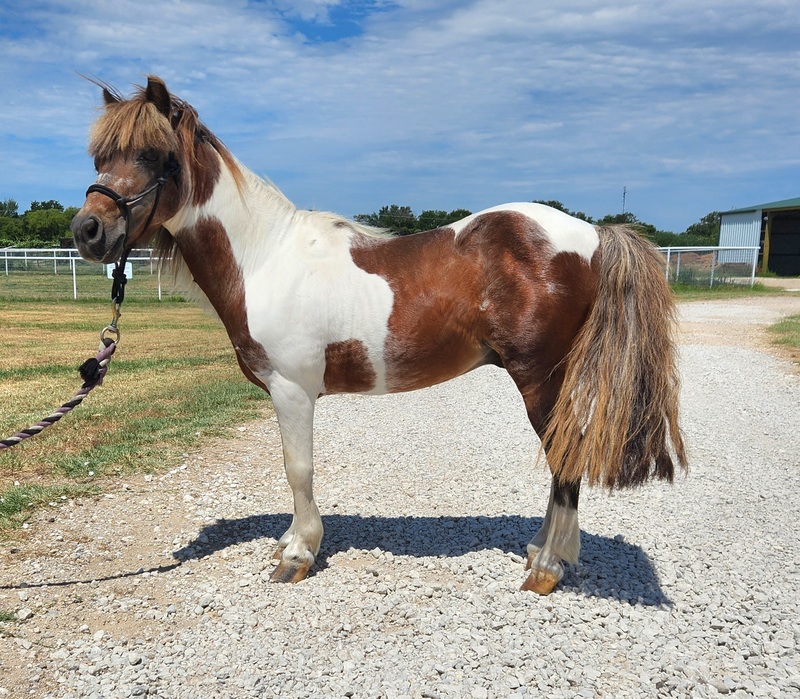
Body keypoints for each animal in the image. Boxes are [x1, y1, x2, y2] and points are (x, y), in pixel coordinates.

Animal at [70, 76, 688, 592]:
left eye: (154, 155)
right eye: (99, 155)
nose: (88, 230)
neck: (264, 257)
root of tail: (594, 235)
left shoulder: (293, 391)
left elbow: (298, 468)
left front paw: (298, 554)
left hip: (541, 379)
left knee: (564, 456)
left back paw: (547, 568)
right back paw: (540, 551)